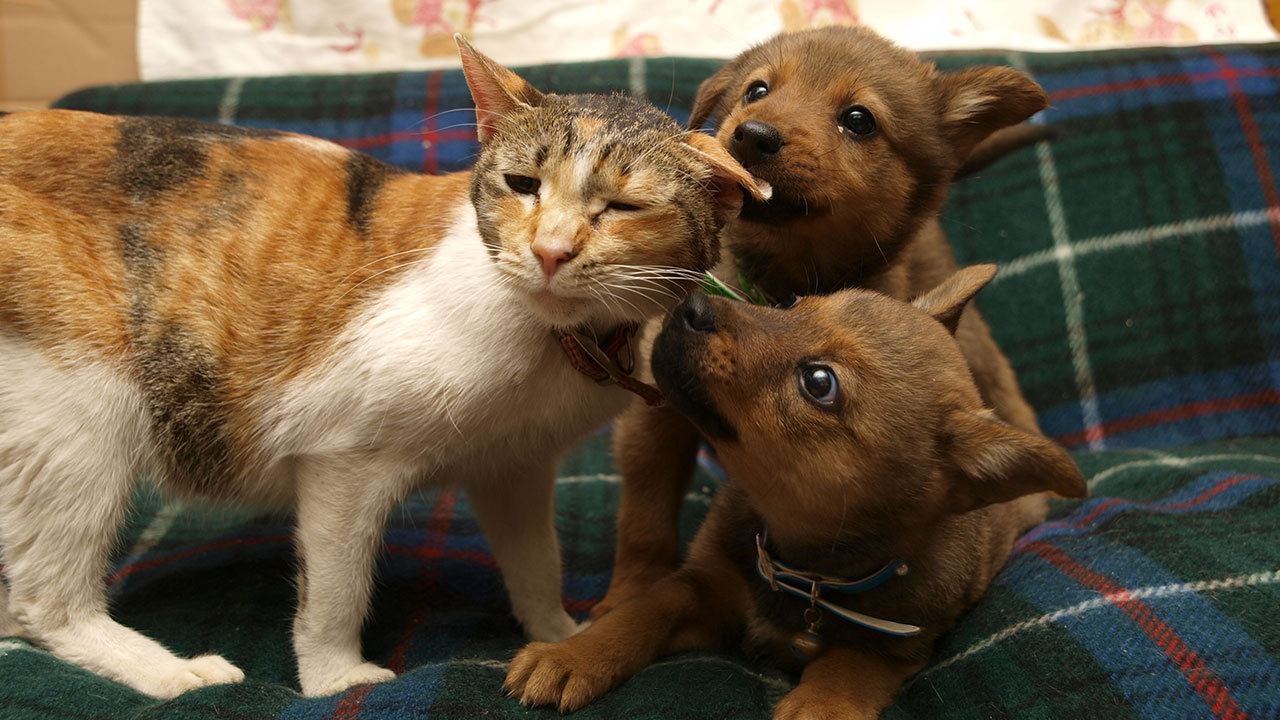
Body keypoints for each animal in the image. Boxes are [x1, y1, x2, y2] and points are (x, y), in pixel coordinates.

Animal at [0, 37, 757, 696]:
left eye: (624, 206)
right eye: (522, 184)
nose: (549, 251)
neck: (556, 341)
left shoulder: (512, 464)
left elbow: (538, 562)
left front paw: (560, 636)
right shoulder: (343, 462)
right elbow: (336, 589)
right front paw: (336, 678)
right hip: (84, 413)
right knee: (46, 603)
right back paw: (171, 674)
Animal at [504, 266, 1085, 712]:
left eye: (819, 383)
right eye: (790, 303)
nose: (692, 303)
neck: (804, 574)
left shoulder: (891, 649)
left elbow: (840, 677)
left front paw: (816, 705)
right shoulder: (700, 585)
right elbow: (637, 614)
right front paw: (569, 656)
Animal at [599, 28, 1049, 609]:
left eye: (858, 119)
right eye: (757, 89)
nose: (752, 135)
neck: (777, 283)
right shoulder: (656, 407)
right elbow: (645, 515)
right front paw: (626, 596)